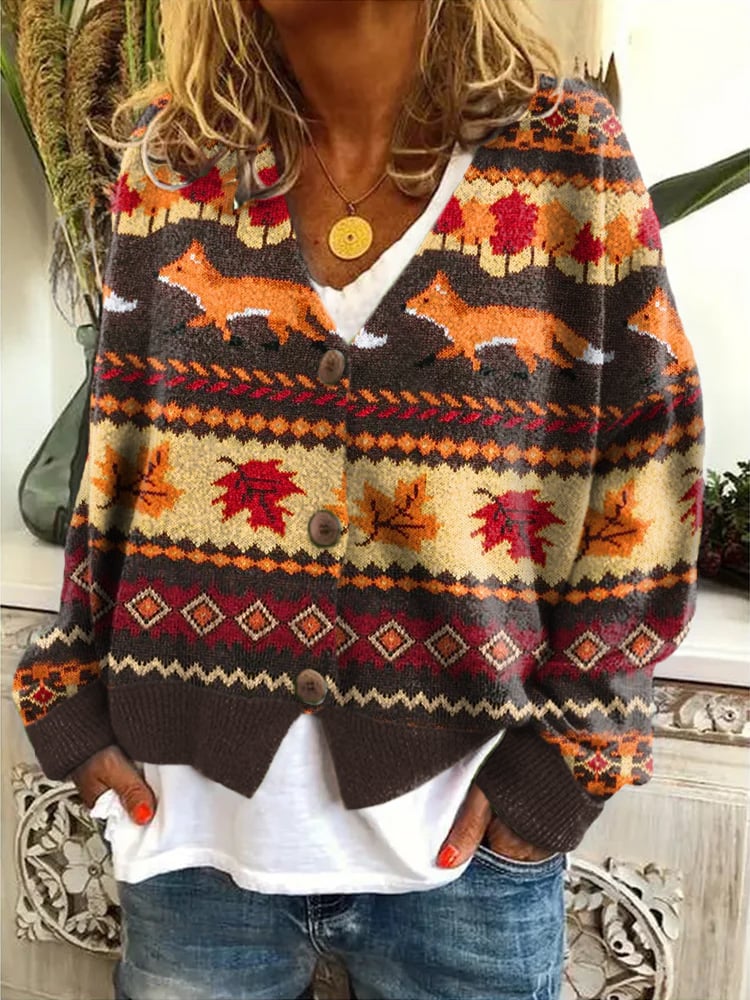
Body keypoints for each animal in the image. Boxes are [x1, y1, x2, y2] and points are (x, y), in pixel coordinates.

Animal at [158, 239, 332, 344]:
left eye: (178, 268)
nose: (157, 273)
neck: (210, 288)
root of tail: (300, 288)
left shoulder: (219, 314)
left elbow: (223, 329)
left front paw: (229, 340)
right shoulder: (210, 314)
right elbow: (192, 322)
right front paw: (174, 329)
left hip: (290, 318)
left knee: (309, 332)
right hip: (277, 320)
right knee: (287, 335)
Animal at [405, 272, 610, 374]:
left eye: (425, 299)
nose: (402, 305)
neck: (458, 319)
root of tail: (548, 316)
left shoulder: (467, 344)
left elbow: (472, 360)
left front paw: (480, 370)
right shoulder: (458, 346)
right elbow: (438, 355)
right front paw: (421, 363)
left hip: (537, 347)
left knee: (561, 359)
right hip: (524, 348)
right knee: (534, 364)